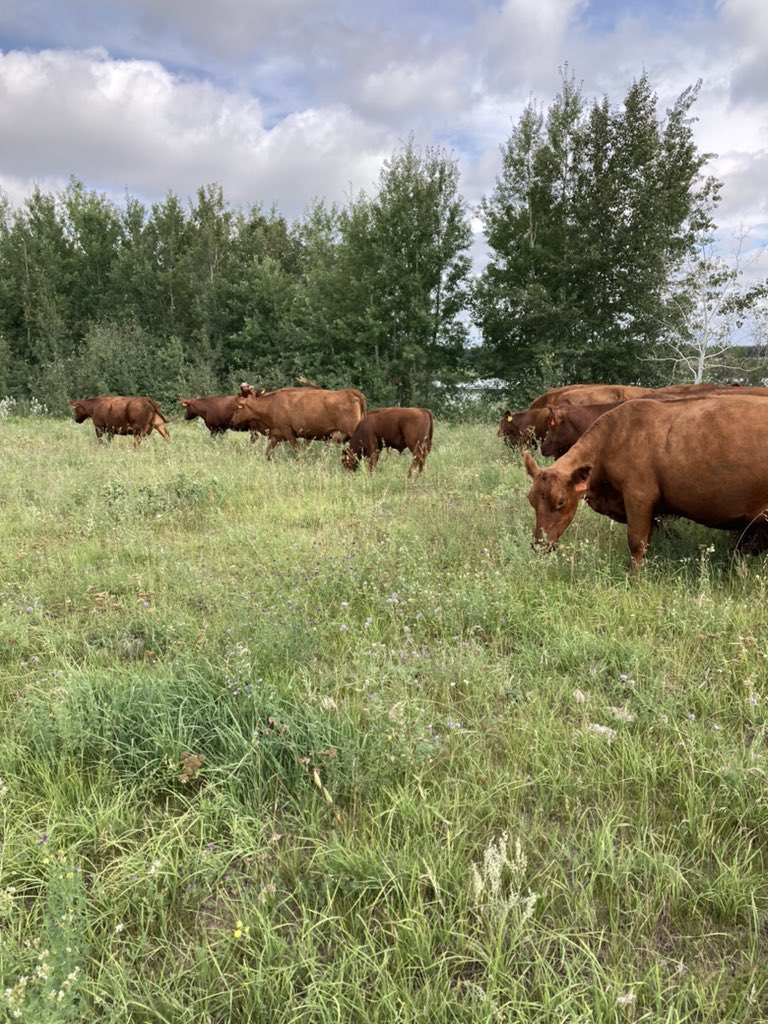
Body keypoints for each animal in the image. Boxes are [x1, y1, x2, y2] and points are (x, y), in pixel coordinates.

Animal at [230, 386, 367, 460]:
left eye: (237, 408)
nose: (232, 422)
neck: (271, 405)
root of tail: (349, 391)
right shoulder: (276, 435)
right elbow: (268, 453)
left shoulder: (289, 433)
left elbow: (298, 451)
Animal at [523, 395, 768, 569]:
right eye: (531, 501)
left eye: (561, 501)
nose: (539, 544)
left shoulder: (639, 497)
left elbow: (636, 542)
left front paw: (635, 578)